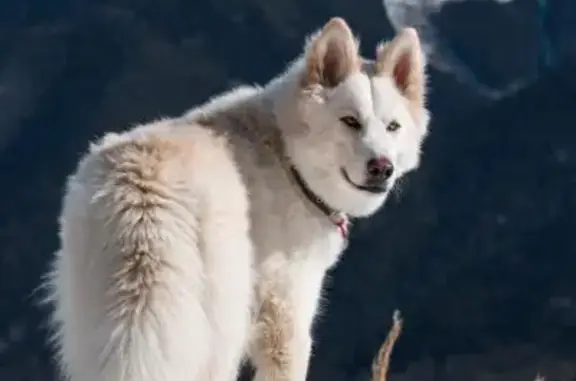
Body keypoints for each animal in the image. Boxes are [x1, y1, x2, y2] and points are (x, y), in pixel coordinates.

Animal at [45, 17, 430, 380]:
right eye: (350, 121)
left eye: (392, 127)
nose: (382, 168)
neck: (288, 158)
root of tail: (142, 193)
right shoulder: (285, 312)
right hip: (222, 325)